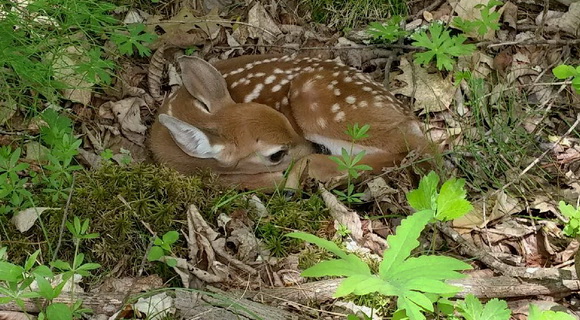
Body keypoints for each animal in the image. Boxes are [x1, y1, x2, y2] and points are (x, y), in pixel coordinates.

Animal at [152, 53, 432, 189]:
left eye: (283, 118)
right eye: (276, 154)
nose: (311, 148)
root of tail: (404, 111)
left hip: (316, 102)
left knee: (412, 147)